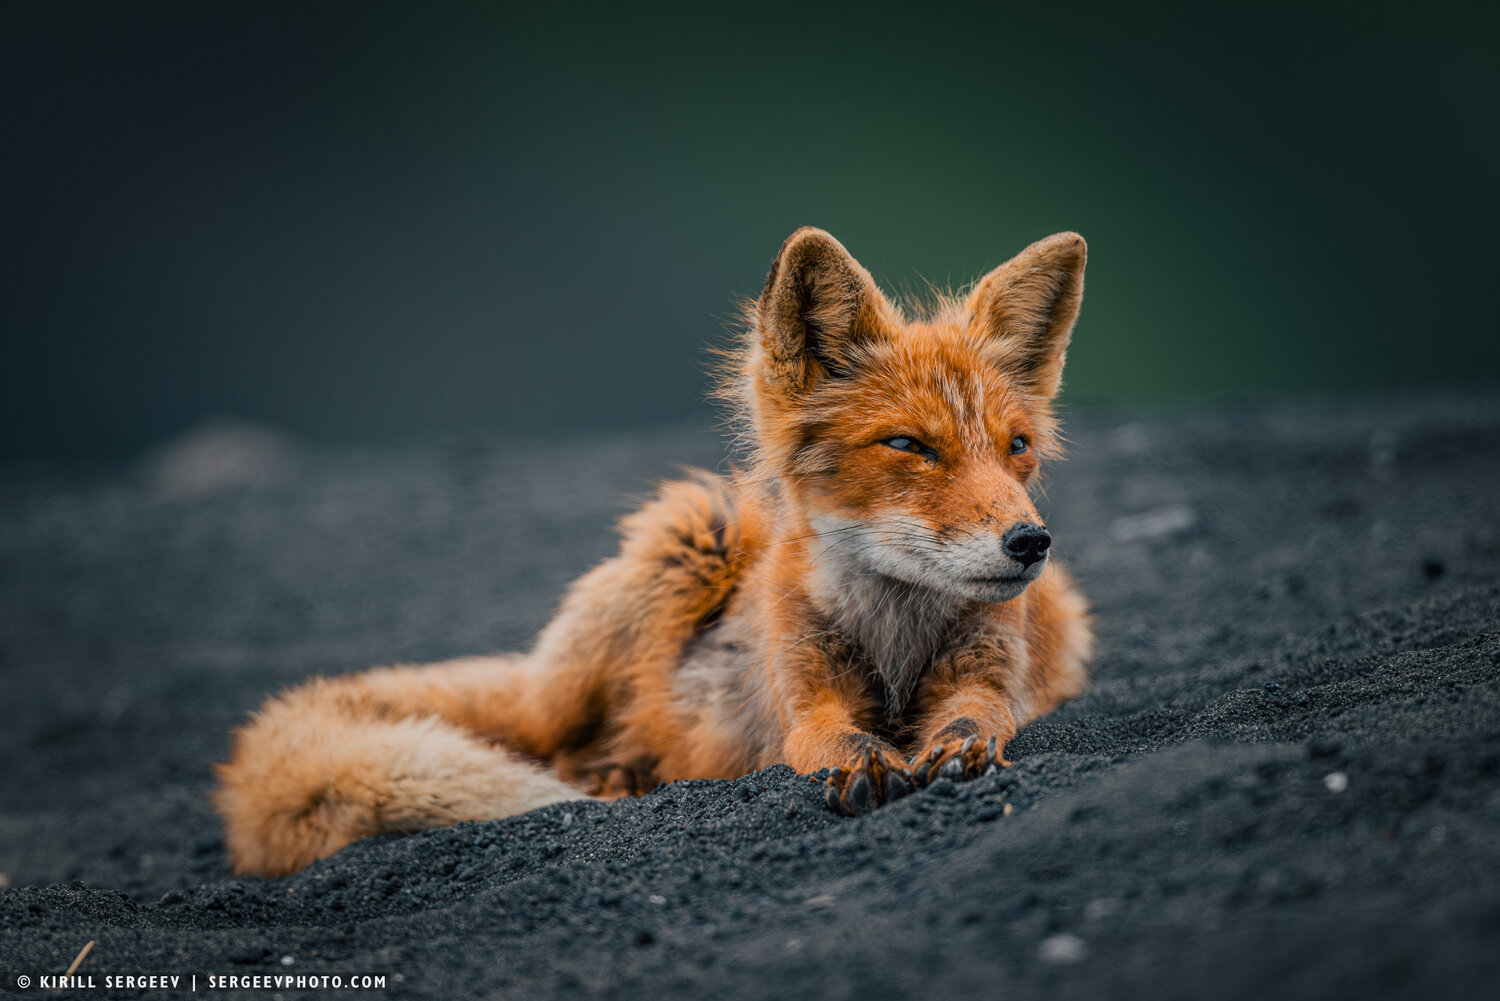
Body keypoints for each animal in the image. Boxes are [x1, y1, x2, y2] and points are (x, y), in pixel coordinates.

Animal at [214, 227, 1094, 876]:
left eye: (1016, 446)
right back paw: (614, 773)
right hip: (680, 546)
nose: (1029, 542)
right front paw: (864, 761)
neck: (896, 634)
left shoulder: (989, 670)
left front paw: (962, 744)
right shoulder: (799, 695)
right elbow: (827, 739)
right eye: (909, 445)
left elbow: (980, 713)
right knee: (553, 744)